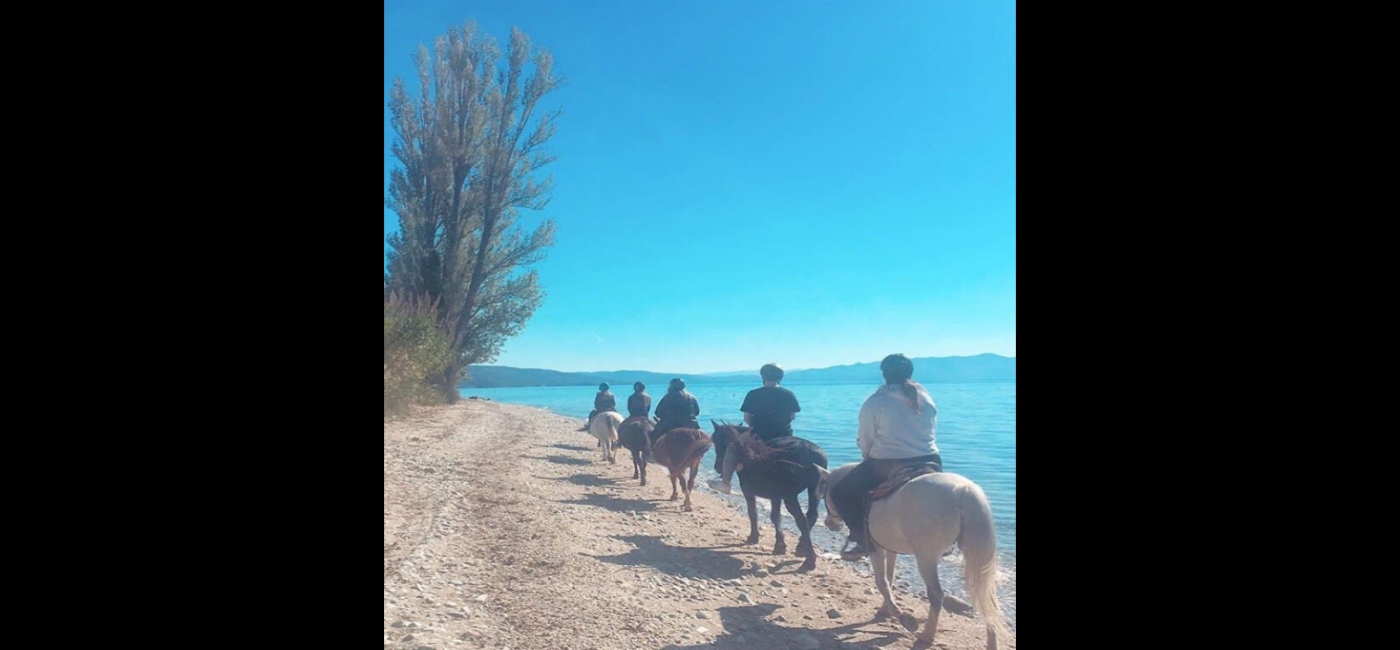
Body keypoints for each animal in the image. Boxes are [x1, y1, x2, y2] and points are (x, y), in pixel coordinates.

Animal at [812, 462, 1019, 650]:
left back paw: (926, 636)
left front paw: (903, 617)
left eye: (825, 494)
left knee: (936, 595)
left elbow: (882, 582)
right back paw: (991, 643)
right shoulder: (890, 548)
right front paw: (885, 610)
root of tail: (963, 491)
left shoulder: (877, 549)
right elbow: (890, 578)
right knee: (987, 601)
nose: (829, 523)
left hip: (926, 557)